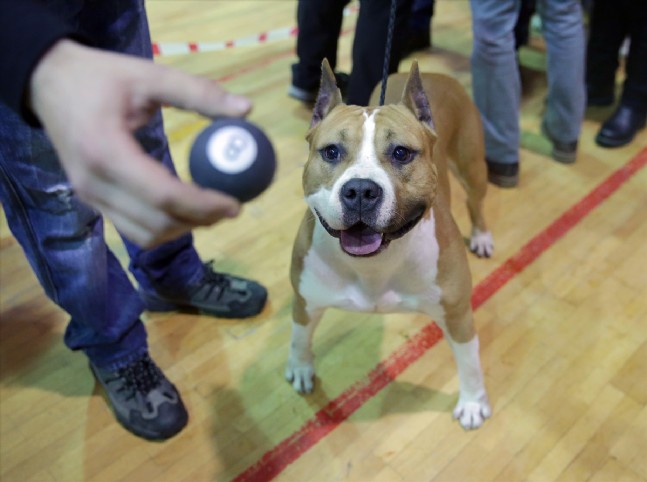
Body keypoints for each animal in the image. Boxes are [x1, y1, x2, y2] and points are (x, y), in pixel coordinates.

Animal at [286, 59, 494, 430]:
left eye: (401, 153)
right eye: (331, 151)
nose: (360, 190)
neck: (374, 264)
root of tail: (436, 75)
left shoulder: (457, 315)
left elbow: (470, 362)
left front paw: (472, 402)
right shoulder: (305, 300)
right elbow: (299, 337)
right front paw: (299, 366)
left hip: (472, 166)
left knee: (476, 202)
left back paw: (482, 235)